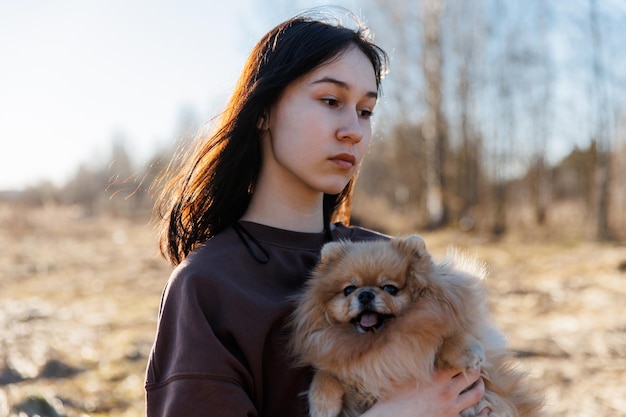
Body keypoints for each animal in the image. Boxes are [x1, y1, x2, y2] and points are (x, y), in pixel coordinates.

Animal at [290, 234, 544, 416]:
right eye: (349, 289)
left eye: (390, 288)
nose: (365, 294)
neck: (380, 343)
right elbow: (325, 374)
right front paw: (322, 404)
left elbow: (449, 335)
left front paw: (466, 352)